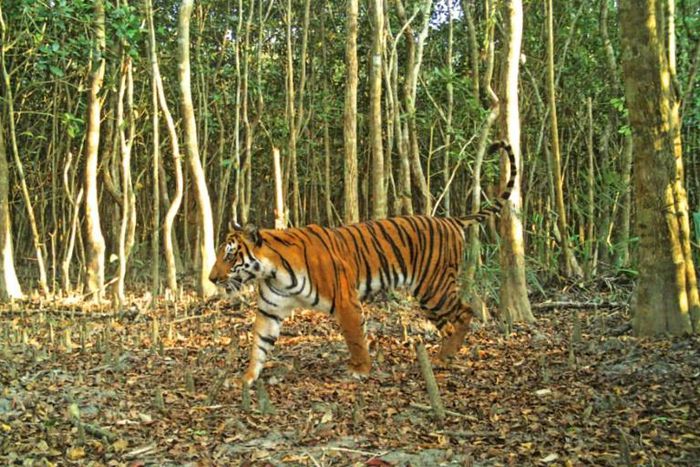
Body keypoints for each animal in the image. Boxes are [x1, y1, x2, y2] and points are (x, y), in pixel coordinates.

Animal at [209, 141, 515, 386]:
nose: (211, 279)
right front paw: (245, 378)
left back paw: (446, 355)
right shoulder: (270, 309)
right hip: (430, 295)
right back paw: (443, 355)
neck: (273, 272)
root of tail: (450, 220)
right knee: (449, 323)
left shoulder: (346, 301)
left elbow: (355, 337)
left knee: (465, 312)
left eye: (229, 255)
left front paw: (360, 369)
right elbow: (259, 345)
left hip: (434, 287)